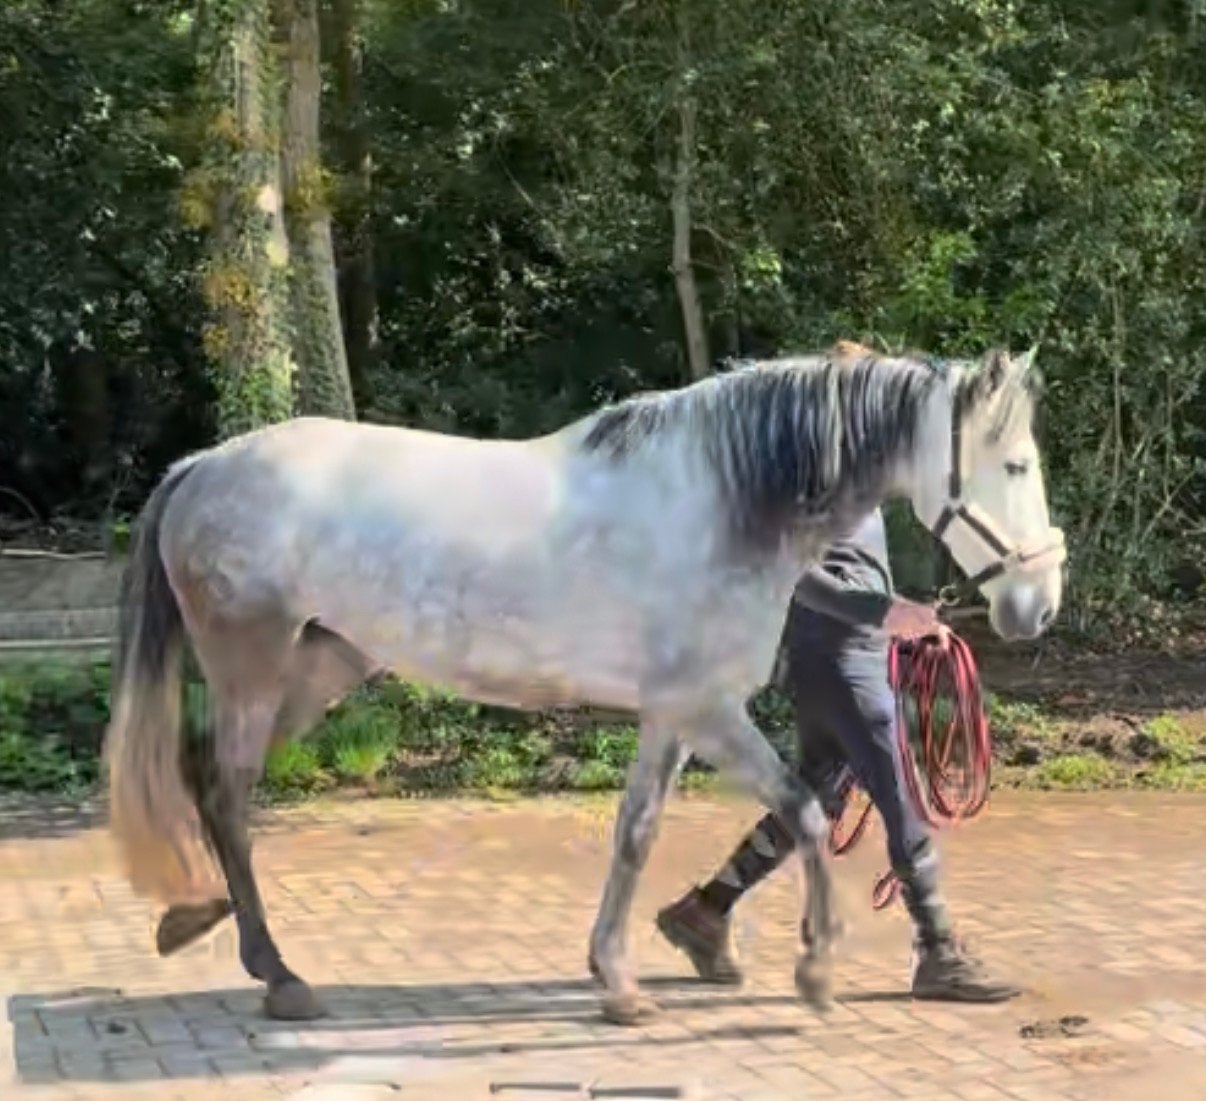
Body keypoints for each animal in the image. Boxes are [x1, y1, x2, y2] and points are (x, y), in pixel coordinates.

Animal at [103, 344, 1065, 1026]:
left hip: (319, 669)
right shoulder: (708, 709)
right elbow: (804, 812)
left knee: (208, 781)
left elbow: (635, 833)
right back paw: (278, 975)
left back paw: (197, 921)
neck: (722, 501)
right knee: (227, 794)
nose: (1039, 602)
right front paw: (817, 966)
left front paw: (618, 980)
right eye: (1015, 465)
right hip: (255, 670)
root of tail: (200, 467)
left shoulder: (671, 714)